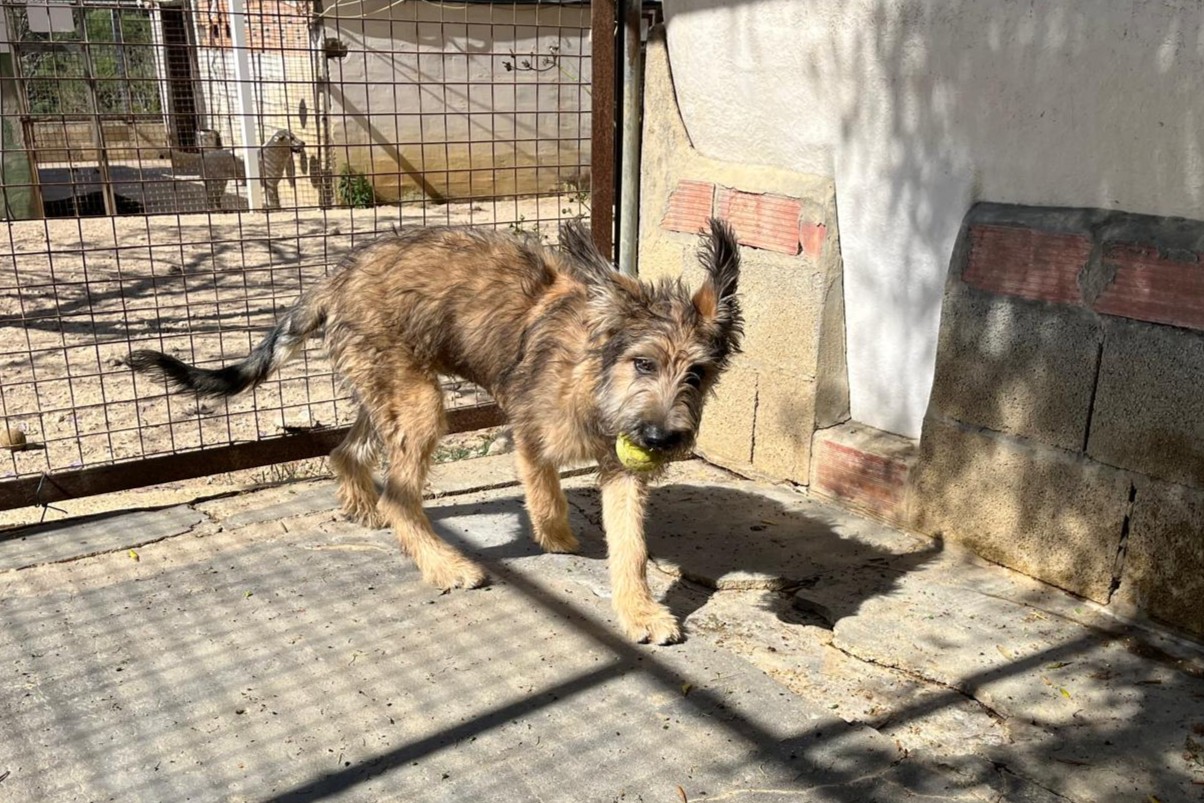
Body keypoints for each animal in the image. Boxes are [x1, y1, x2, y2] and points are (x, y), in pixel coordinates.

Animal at [127, 221, 742, 644]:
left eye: (697, 374)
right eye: (643, 363)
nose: (662, 440)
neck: (595, 370)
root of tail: (335, 278)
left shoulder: (622, 467)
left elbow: (631, 545)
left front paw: (638, 610)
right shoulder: (529, 432)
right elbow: (545, 493)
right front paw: (556, 538)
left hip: (388, 394)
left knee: (344, 451)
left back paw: (367, 510)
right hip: (419, 403)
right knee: (399, 493)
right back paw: (442, 564)